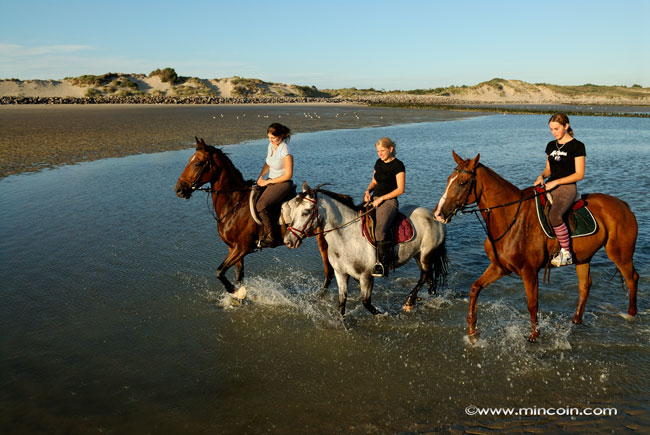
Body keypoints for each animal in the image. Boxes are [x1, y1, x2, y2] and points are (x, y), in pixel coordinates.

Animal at [173, 140, 332, 300]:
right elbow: (238, 274)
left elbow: (219, 272)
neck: (234, 204)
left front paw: (237, 292)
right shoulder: (233, 248)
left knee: (329, 272)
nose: (178, 189)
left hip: (323, 241)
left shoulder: (242, 248)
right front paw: (240, 297)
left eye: (197, 163)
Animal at [284, 182, 446, 316]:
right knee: (428, 278)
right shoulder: (341, 274)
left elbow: (366, 303)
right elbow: (342, 302)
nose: (288, 241)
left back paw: (409, 301)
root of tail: (433, 216)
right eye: (292, 211)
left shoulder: (366, 276)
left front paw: (384, 315)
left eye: (305, 212)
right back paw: (423, 298)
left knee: (425, 275)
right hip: (418, 255)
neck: (346, 237)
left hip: (426, 254)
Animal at [432, 152, 636, 344]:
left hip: (620, 255)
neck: (510, 218)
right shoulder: (500, 267)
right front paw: (472, 332)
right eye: (448, 180)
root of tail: (624, 205)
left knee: (632, 279)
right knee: (585, 285)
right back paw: (576, 320)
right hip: (583, 258)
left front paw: (534, 335)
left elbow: (532, 304)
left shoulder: (529, 271)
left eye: (462, 182)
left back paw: (631, 315)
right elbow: (475, 288)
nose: (438, 214)